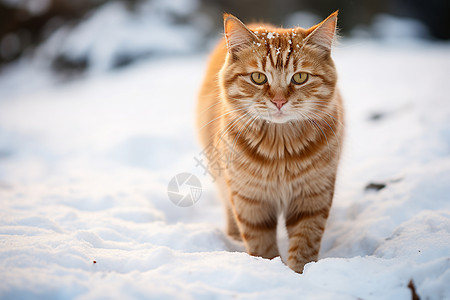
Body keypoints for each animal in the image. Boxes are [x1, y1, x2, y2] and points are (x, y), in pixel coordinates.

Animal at [197, 11, 344, 274]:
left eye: (300, 77)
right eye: (258, 77)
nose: (279, 101)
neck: (280, 151)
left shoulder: (312, 198)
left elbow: (305, 243)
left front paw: (299, 274)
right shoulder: (250, 200)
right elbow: (261, 246)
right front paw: (269, 271)